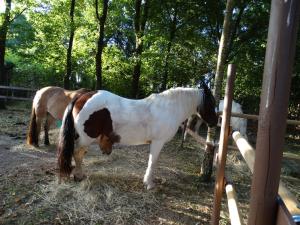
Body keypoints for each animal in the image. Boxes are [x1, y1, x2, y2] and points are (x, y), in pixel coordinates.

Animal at [58, 84, 218, 190]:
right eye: (211, 103)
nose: (215, 122)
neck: (168, 108)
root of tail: (84, 95)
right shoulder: (158, 142)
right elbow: (153, 162)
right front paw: (149, 183)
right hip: (85, 138)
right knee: (77, 154)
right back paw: (79, 176)